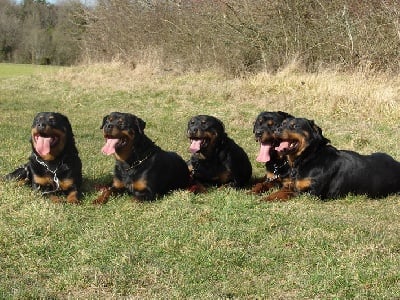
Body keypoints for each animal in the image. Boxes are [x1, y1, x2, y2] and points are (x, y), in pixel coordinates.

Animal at [268, 118, 400, 202]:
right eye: (282, 124)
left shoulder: (310, 193)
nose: (276, 130)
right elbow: (279, 192)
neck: (309, 157)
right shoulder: (291, 186)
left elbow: (286, 194)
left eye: (294, 126)